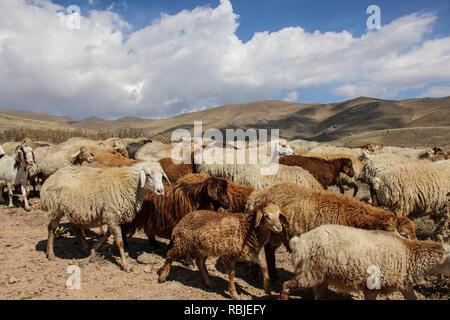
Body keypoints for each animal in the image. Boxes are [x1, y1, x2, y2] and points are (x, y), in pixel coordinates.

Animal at [282, 225, 450, 300]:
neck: (407, 252)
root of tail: (298, 241)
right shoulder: (372, 285)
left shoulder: (404, 285)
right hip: (309, 273)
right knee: (285, 286)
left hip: (321, 276)